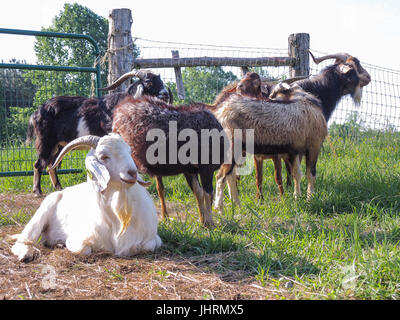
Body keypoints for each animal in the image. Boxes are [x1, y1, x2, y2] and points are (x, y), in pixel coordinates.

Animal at [11, 134, 161, 262]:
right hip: (40, 215)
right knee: (23, 241)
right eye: (104, 156)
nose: (132, 173)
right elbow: (84, 250)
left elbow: (147, 247)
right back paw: (26, 254)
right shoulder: (77, 239)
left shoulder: (153, 239)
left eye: (129, 152)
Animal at [26, 70, 173, 195]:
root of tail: (37, 112)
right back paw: (37, 191)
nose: (165, 94)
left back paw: (59, 187)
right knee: (38, 164)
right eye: (149, 82)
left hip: (59, 145)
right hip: (46, 141)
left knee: (52, 164)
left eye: (161, 81)